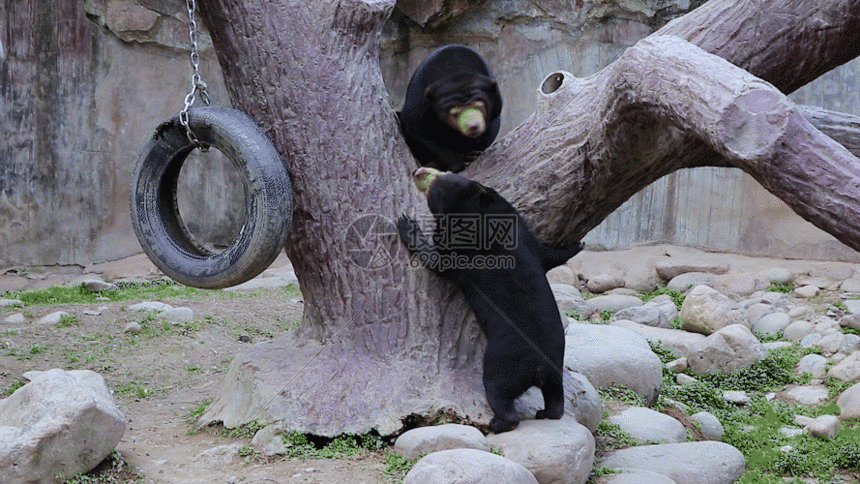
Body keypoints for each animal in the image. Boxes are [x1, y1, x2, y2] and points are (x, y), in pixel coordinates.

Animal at [397, 167, 583, 433]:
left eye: (434, 187)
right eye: (447, 172)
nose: (418, 171)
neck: (478, 214)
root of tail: (540, 367)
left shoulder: (464, 251)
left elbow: (439, 261)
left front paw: (406, 225)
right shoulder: (519, 229)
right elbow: (545, 252)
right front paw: (577, 244)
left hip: (502, 363)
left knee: (498, 392)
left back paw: (496, 423)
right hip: (557, 365)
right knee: (555, 394)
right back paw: (548, 412)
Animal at [398, 44, 503, 173]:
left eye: (479, 106)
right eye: (454, 113)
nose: (473, 126)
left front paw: (473, 152)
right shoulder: (420, 97)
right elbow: (415, 129)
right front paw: (464, 160)